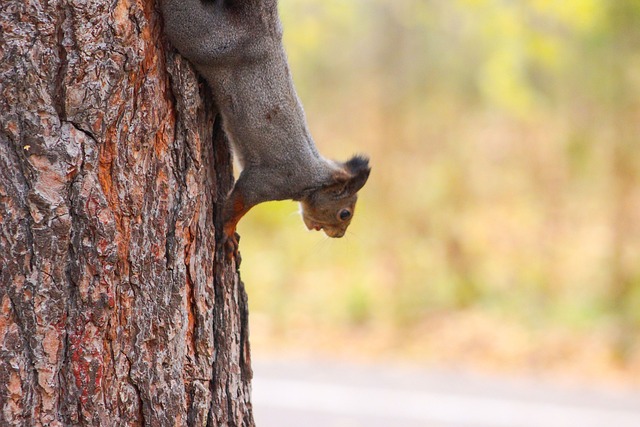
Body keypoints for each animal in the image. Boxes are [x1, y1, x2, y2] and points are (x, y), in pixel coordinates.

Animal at [158, 0, 372, 252]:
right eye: (344, 213)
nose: (338, 235)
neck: (314, 178)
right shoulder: (270, 181)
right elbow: (238, 203)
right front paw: (228, 231)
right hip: (201, 37)